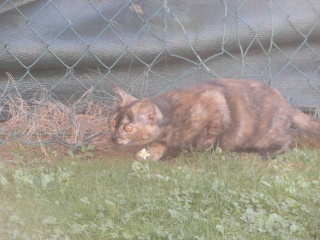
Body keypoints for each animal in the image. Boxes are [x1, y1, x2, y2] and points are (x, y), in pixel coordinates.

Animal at [110, 79, 320, 161]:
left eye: (127, 128)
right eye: (113, 123)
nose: (112, 138)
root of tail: (286, 103)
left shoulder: (214, 105)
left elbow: (208, 138)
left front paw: (197, 151)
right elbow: (158, 145)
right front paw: (150, 154)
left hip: (267, 134)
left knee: (285, 141)